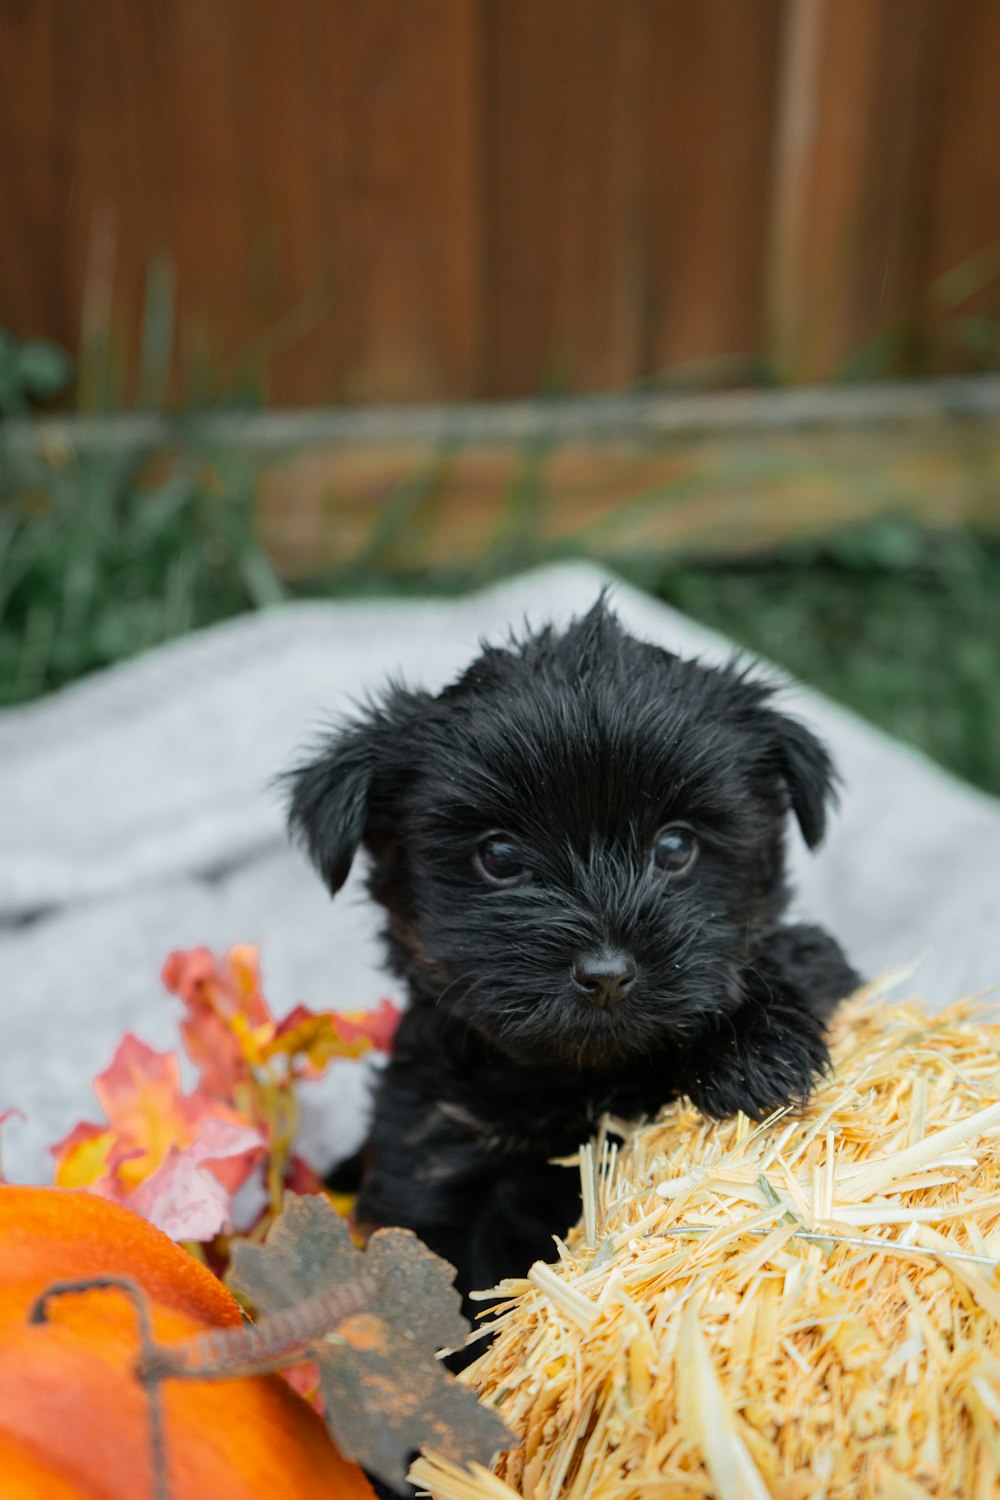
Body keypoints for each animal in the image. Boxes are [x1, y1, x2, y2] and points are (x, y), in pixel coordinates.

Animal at [289, 597, 863, 1302]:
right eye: (499, 856)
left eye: (676, 847)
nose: (607, 972)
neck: (585, 1080)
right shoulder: (434, 1149)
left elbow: (804, 956)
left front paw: (757, 1048)